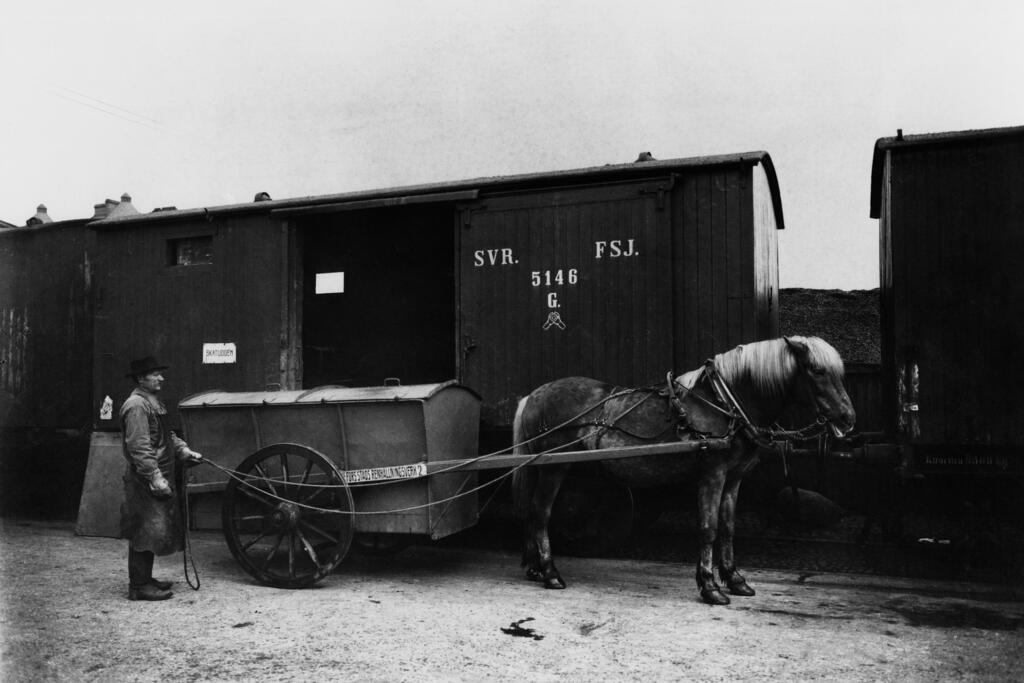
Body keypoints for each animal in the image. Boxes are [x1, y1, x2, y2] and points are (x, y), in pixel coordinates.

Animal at [512, 333, 856, 606]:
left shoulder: (733, 479)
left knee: (530, 510)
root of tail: (533, 395)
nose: (847, 418)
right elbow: (708, 528)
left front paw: (735, 579)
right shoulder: (712, 475)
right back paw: (551, 572)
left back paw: (535, 567)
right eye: (817, 370)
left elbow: (728, 528)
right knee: (541, 512)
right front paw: (710, 586)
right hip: (554, 468)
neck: (724, 403)